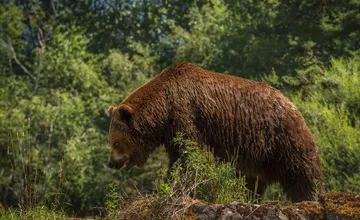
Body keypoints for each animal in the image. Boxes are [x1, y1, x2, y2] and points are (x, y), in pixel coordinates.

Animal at [107, 62, 324, 202]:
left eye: (116, 143)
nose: (112, 163)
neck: (163, 109)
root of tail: (292, 105)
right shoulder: (173, 130)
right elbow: (178, 156)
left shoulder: (185, 115)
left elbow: (190, 154)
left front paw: (173, 186)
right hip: (256, 153)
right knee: (251, 179)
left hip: (280, 136)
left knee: (301, 169)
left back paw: (311, 196)